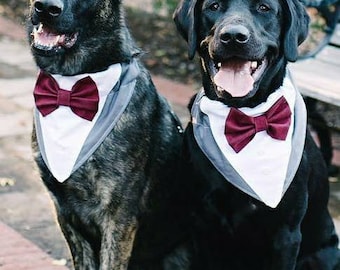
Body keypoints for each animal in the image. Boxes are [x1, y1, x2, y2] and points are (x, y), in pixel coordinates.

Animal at [174, 0, 338, 268]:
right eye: (213, 6)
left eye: (264, 8)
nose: (233, 36)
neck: (246, 116)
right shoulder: (203, 225)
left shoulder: (286, 234)